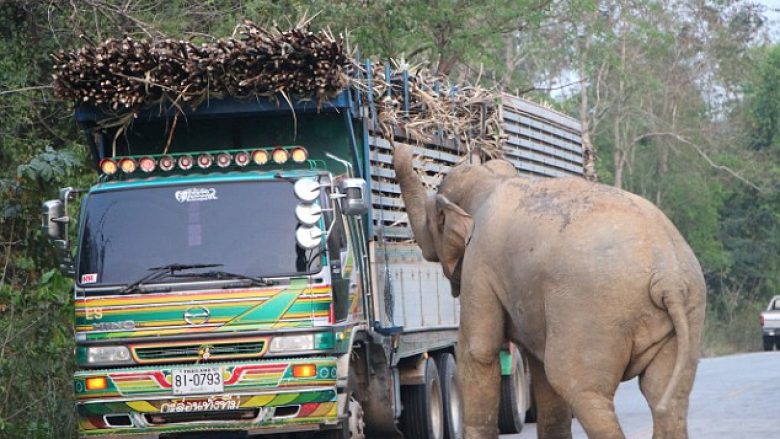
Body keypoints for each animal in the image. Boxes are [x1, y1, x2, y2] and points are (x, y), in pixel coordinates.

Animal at [394, 145, 704, 439]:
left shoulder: (479, 264)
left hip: (592, 314)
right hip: (686, 313)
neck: (492, 179)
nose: (404, 146)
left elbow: (479, 350)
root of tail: (668, 274)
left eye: (433, 219)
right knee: (665, 397)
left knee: (580, 388)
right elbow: (538, 365)